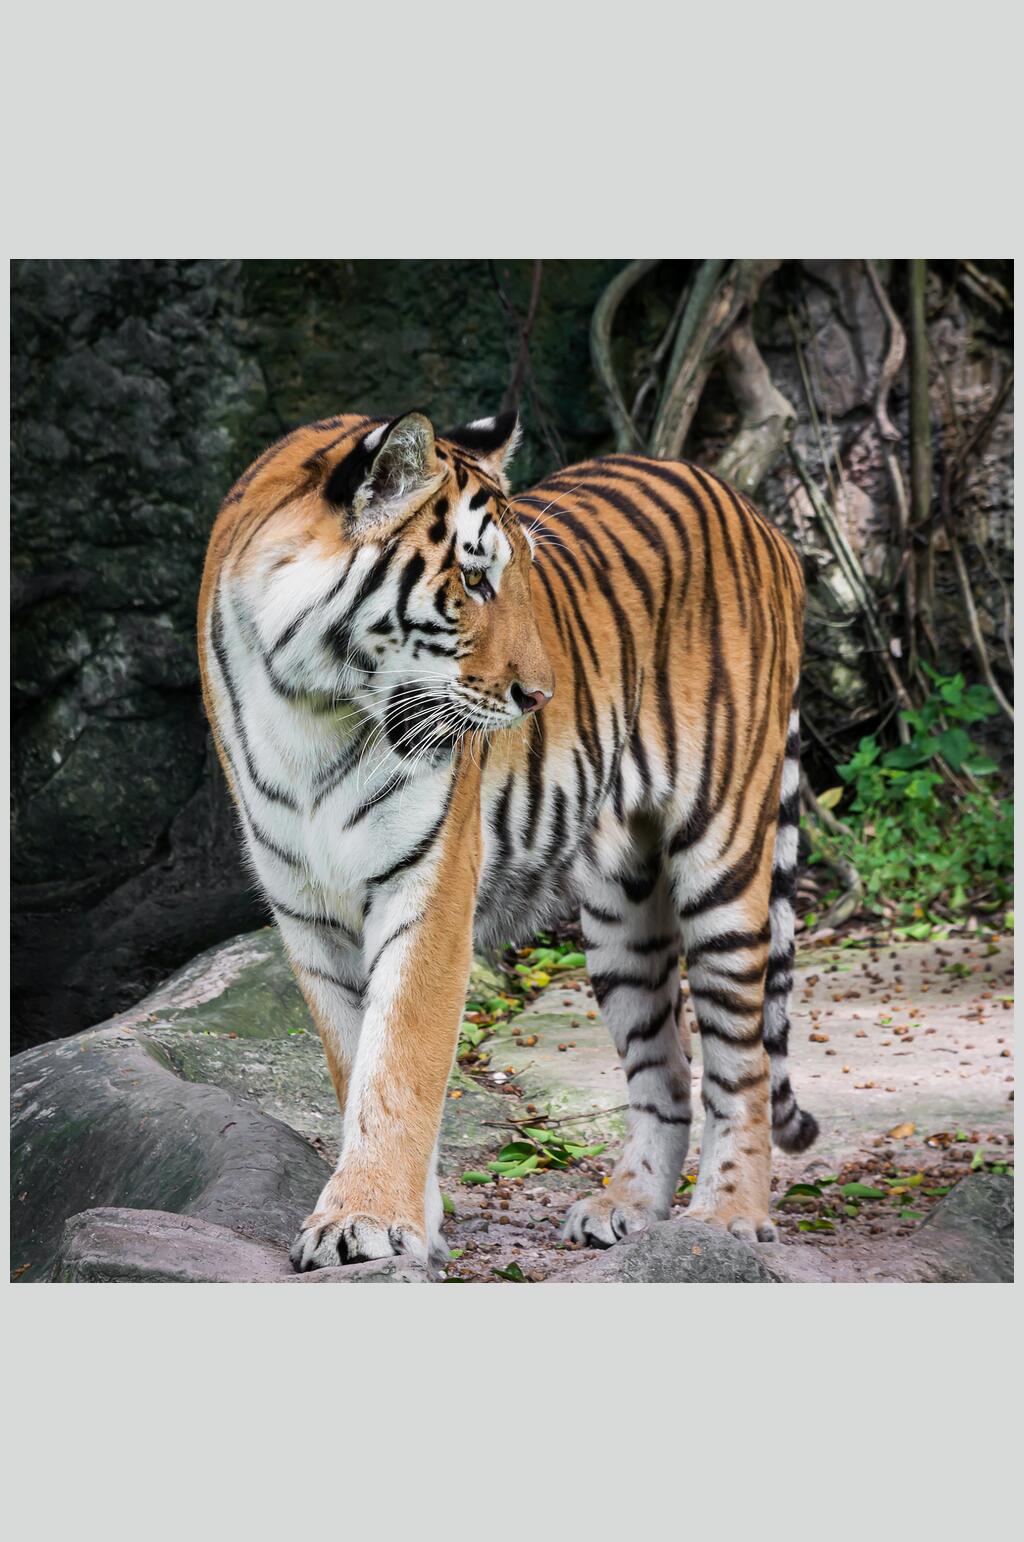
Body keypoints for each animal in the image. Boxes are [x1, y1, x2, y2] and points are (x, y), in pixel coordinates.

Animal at [198, 407, 818, 1274]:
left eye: (519, 575)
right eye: (473, 581)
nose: (540, 696)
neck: (311, 707)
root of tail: (752, 509)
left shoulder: (428, 889)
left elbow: (401, 1064)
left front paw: (365, 1221)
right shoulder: (308, 914)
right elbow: (357, 1066)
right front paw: (408, 1220)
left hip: (724, 860)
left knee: (743, 1063)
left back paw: (727, 1217)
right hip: (623, 912)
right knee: (664, 1072)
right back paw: (625, 1209)